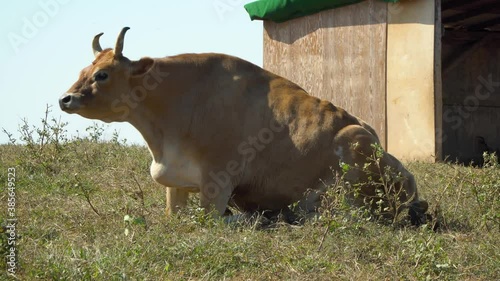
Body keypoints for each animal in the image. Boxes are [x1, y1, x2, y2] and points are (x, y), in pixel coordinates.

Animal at [57, 27, 426, 224]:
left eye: (102, 74)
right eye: (82, 70)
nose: (65, 99)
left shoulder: (217, 182)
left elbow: (209, 220)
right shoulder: (175, 184)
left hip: (353, 153)